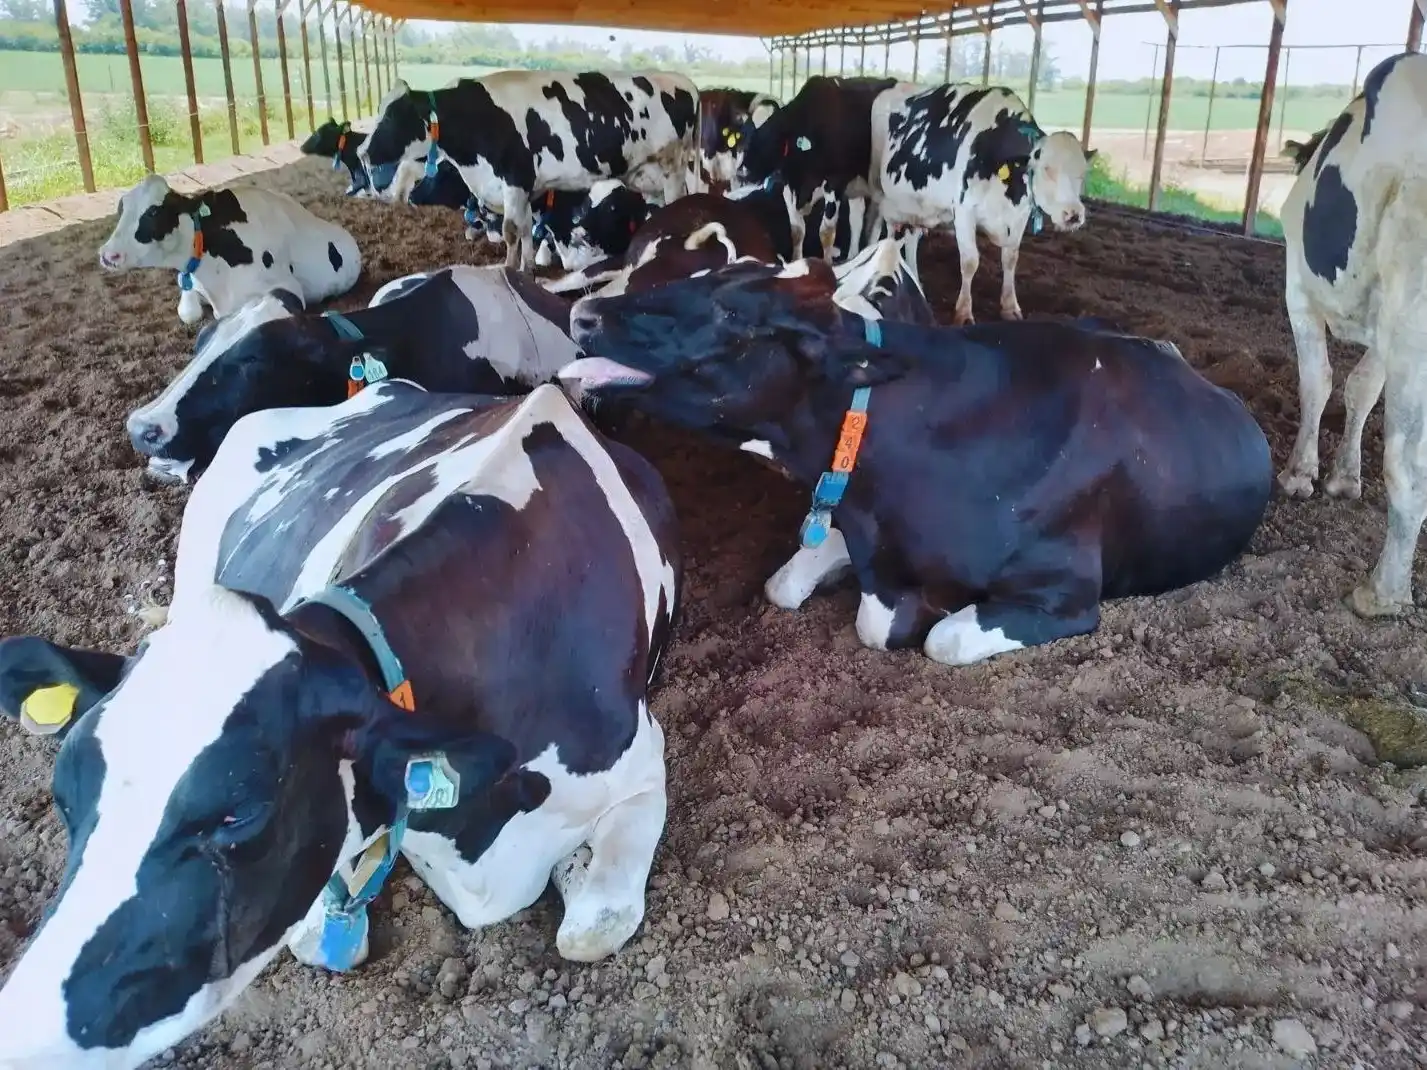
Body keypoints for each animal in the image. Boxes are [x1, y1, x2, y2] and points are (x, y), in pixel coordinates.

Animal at [0, 379, 682, 1070]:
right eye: (64, 799)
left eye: (239, 814)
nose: (24, 1032)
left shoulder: (643, 767)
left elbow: (591, 929)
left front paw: (575, 868)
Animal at [360, 72, 698, 273]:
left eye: (393, 116)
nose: (362, 151)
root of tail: (683, 81)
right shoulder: (524, 188)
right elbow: (524, 228)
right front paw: (526, 270)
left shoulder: (514, 179)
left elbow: (510, 230)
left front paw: (509, 272)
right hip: (648, 176)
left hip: (673, 167)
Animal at [735, 75, 897, 262]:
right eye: (745, 134)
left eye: (772, 134)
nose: (741, 172)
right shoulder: (788, 186)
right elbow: (797, 231)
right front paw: (795, 260)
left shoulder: (835, 183)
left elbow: (826, 233)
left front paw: (826, 263)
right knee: (858, 219)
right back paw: (853, 256)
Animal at [866, 83, 1094, 325]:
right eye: (1047, 169)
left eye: (1083, 173)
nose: (1073, 214)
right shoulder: (964, 210)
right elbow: (970, 262)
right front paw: (964, 313)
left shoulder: (1020, 213)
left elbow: (1010, 257)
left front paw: (1010, 306)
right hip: (877, 187)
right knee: (876, 227)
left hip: (918, 205)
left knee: (908, 237)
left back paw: (916, 281)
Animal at [1275, 51, 1427, 618]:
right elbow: (1360, 390)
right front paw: (1343, 477)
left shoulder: (1297, 288)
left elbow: (1317, 382)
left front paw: (1300, 473)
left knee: (1409, 465)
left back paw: (1382, 593)